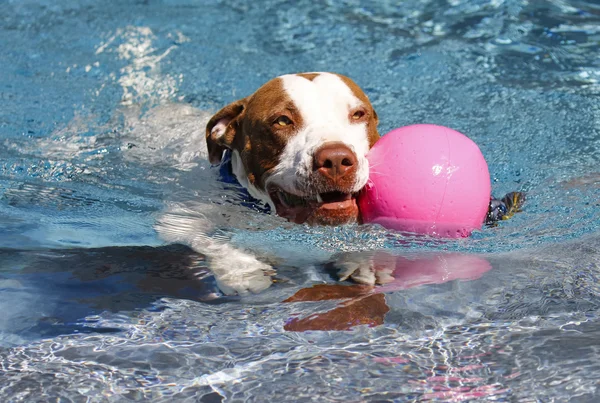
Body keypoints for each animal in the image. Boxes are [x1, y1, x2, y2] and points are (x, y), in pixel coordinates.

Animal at [155, 72, 380, 296]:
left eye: (358, 114)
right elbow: (206, 240)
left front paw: (362, 261)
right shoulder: (179, 218)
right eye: (282, 121)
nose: (336, 159)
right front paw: (241, 270)